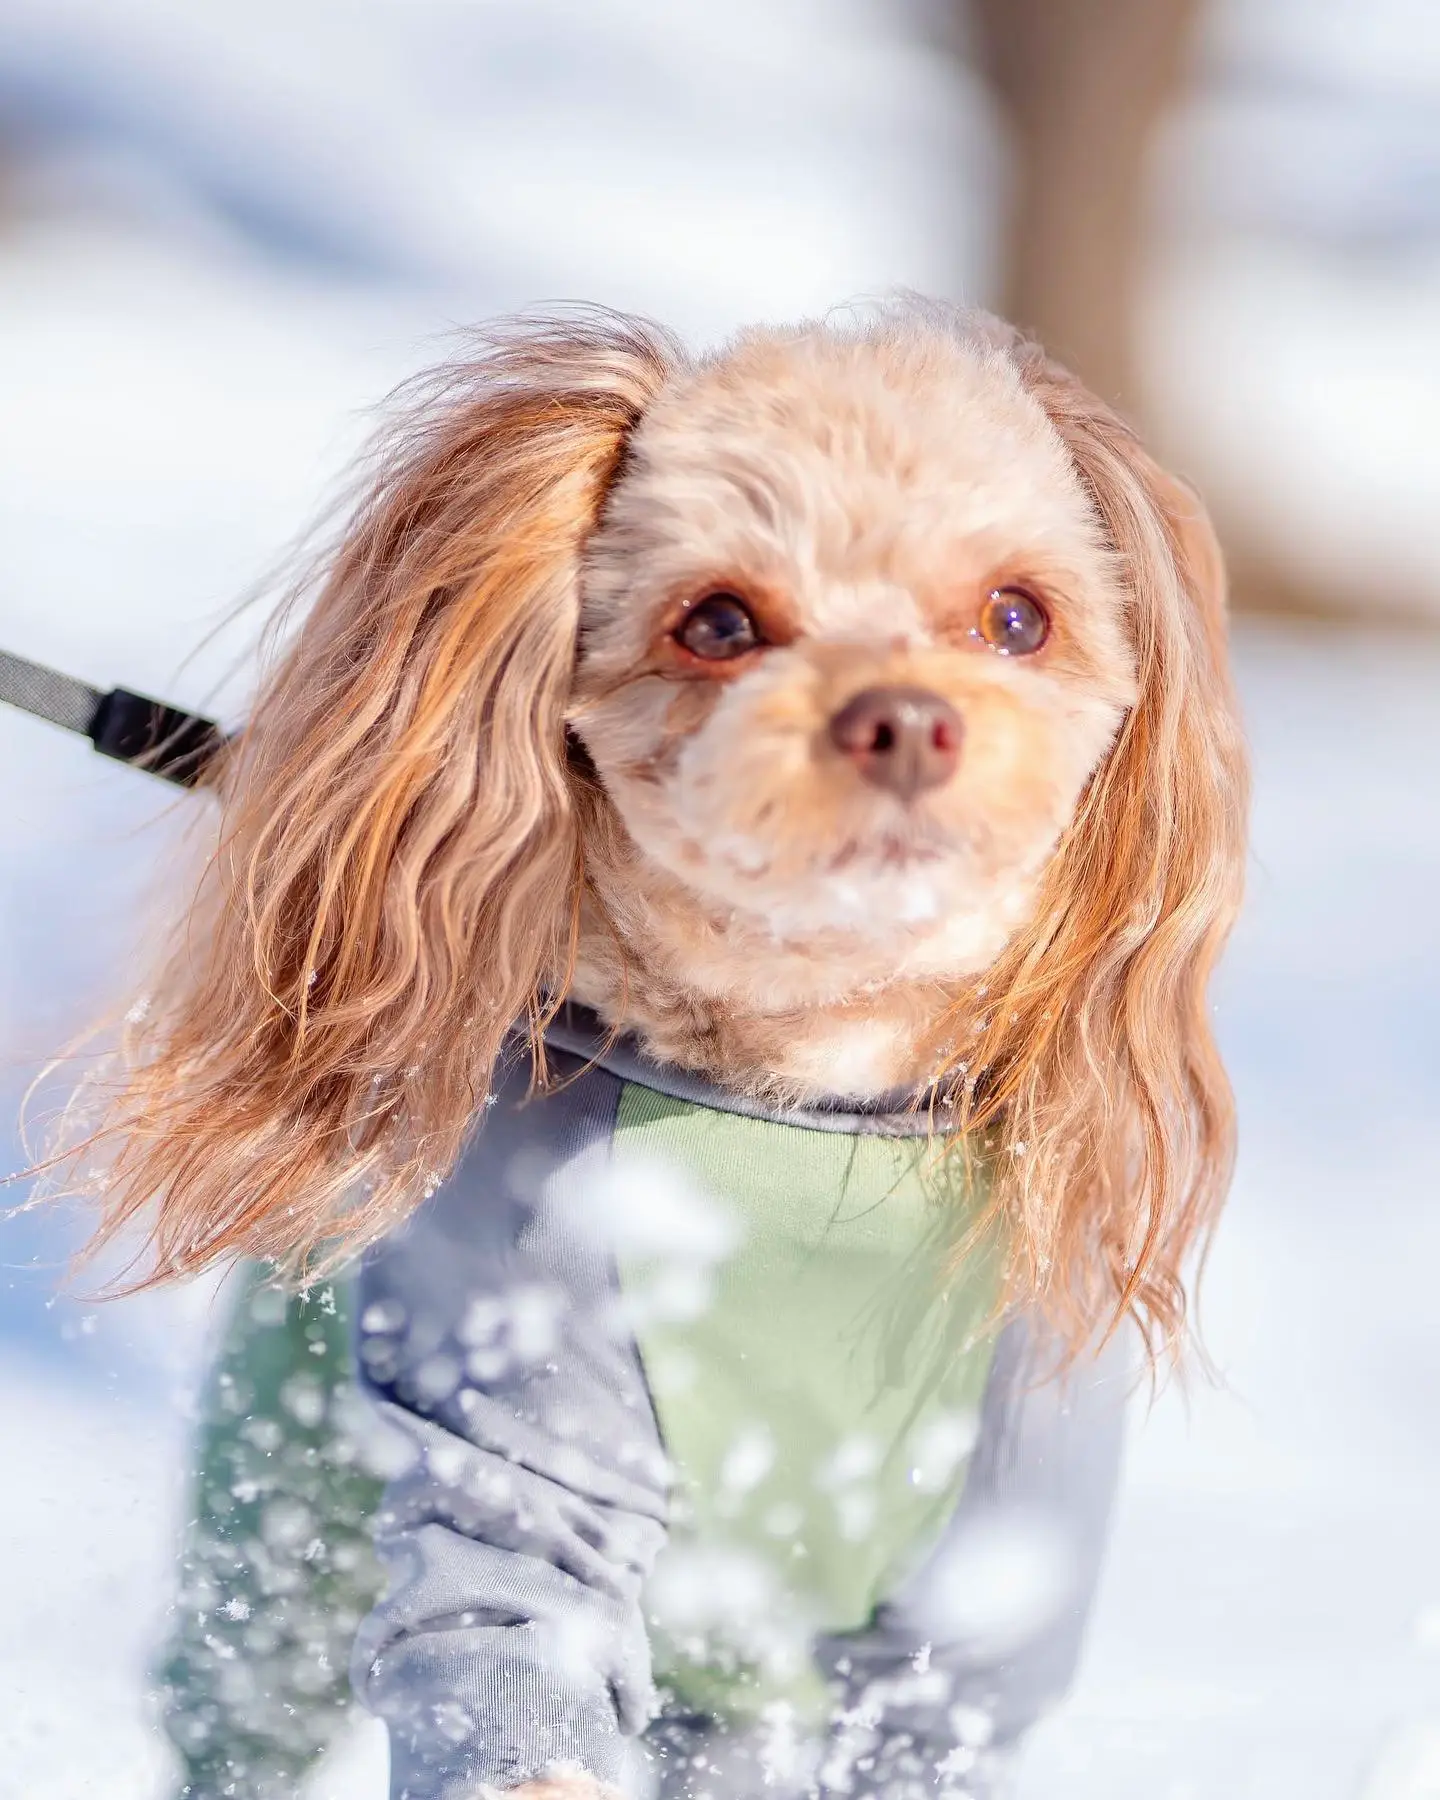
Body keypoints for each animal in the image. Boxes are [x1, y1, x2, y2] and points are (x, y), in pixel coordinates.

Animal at [70, 302, 1245, 1792]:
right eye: (720, 622)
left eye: (1017, 617)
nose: (905, 718)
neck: (811, 1108)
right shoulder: (523, 1460)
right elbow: (508, 1647)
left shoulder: (970, 1611)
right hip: (283, 1512)